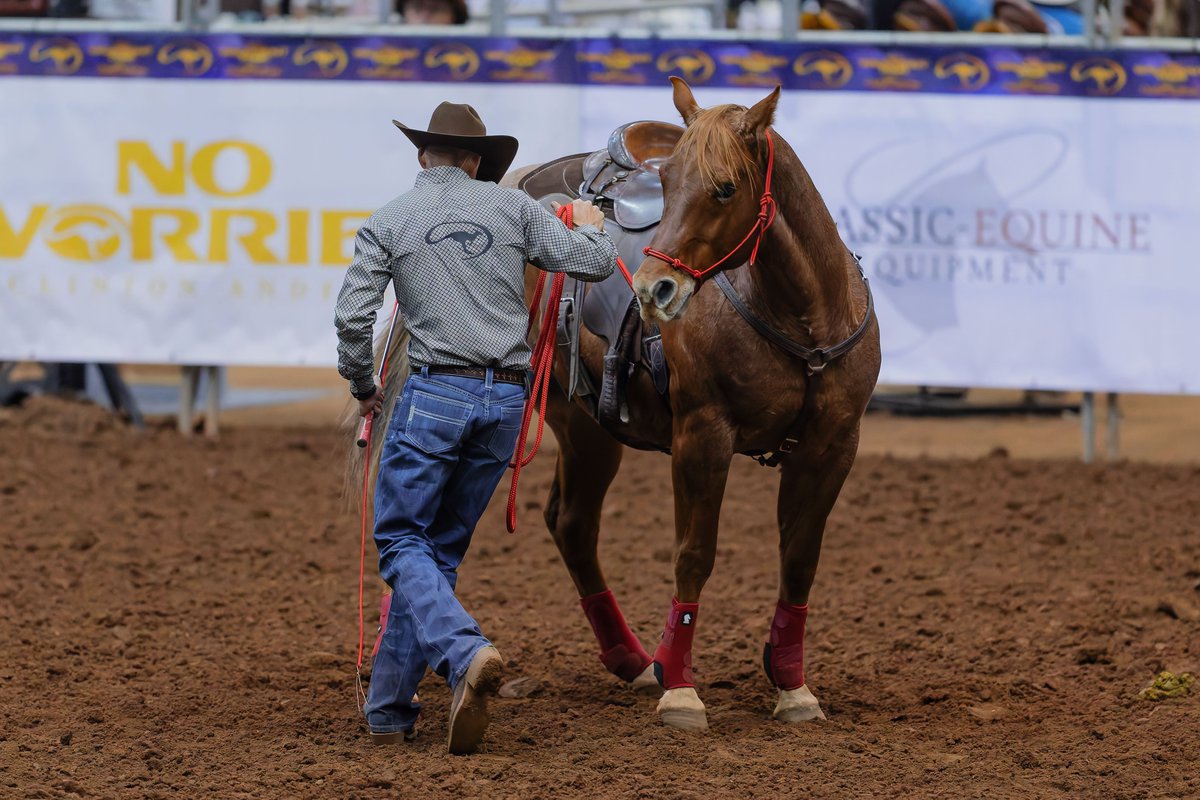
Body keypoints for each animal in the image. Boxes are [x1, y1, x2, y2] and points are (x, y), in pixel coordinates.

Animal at [346, 78, 880, 732]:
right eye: (668, 182)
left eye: (726, 187)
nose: (654, 289)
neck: (800, 319)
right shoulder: (703, 436)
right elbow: (693, 555)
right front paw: (682, 691)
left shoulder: (834, 445)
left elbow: (800, 560)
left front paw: (792, 685)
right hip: (578, 425)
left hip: (589, 429)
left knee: (569, 522)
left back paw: (630, 660)